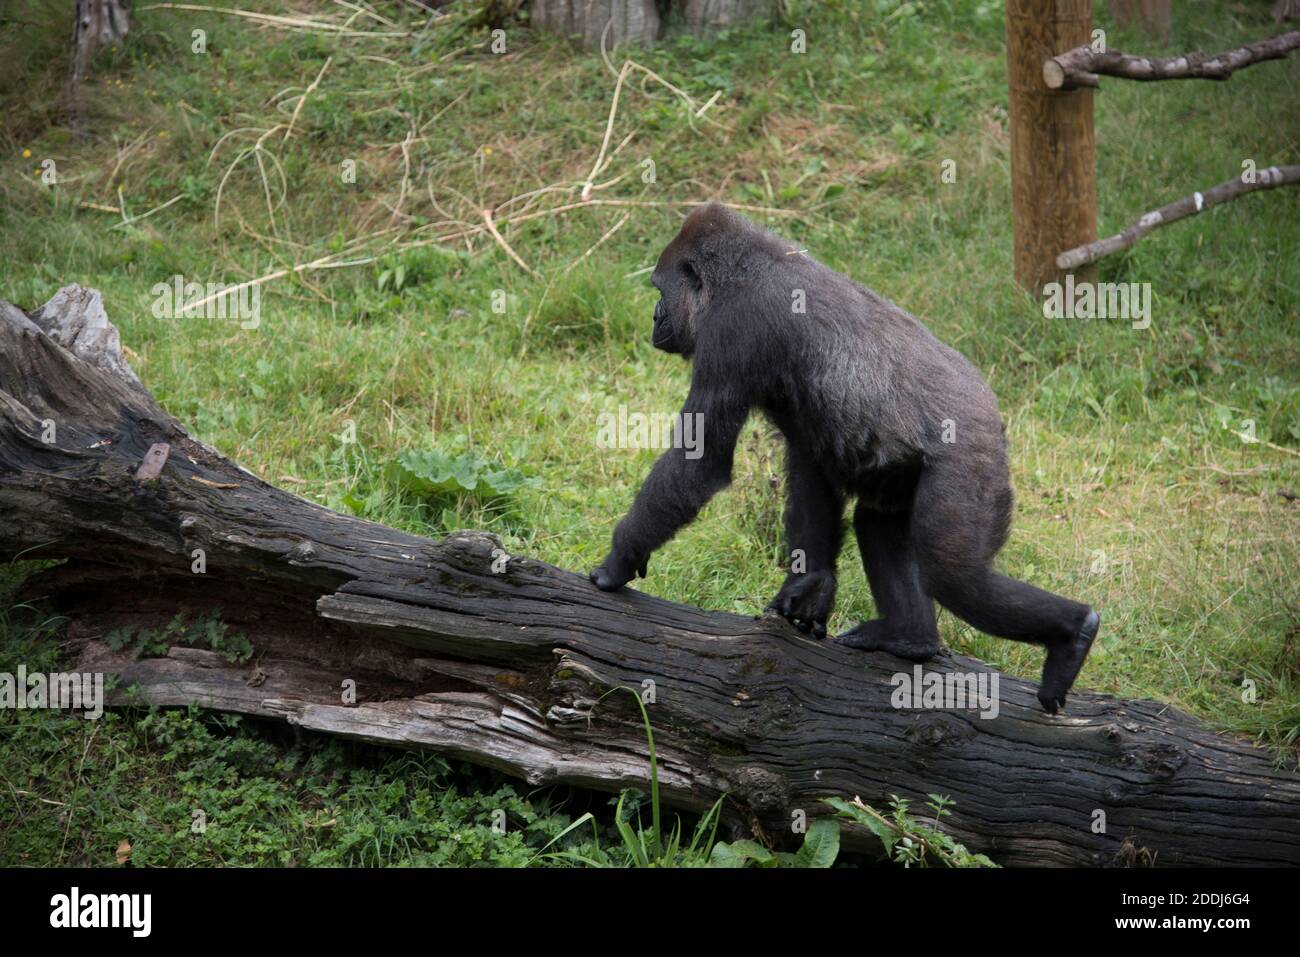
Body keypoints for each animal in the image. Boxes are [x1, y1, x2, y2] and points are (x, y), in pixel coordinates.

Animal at [595, 201, 1102, 712]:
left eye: (660, 290)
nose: (655, 318)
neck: (743, 270)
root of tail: (996, 419)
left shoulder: (733, 331)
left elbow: (700, 462)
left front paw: (621, 557)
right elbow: (810, 468)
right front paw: (811, 587)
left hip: (974, 463)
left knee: (954, 575)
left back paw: (1071, 636)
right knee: (879, 525)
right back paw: (911, 638)